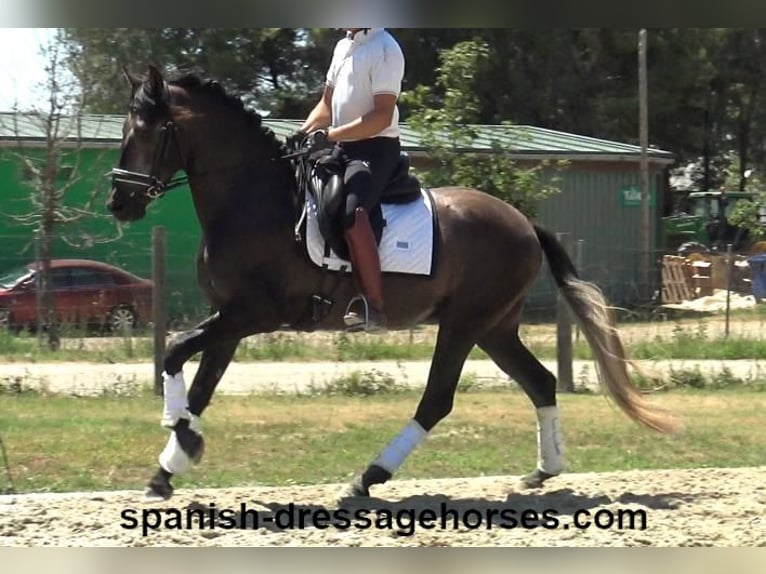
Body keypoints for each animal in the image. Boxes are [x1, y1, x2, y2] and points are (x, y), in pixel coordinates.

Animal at [105, 65, 676, 502]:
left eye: (147, 132)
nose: (118, 203)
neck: (252, 202)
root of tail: (522, 222)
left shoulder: (254, 314)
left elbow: (174, 352)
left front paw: (178, 435)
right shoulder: (229, 317)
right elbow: (200, 384)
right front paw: (169, 466)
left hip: (464, 323)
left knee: (438, 400)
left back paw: (367, 479)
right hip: (495, 327)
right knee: (540, 382)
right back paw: (544, 470)